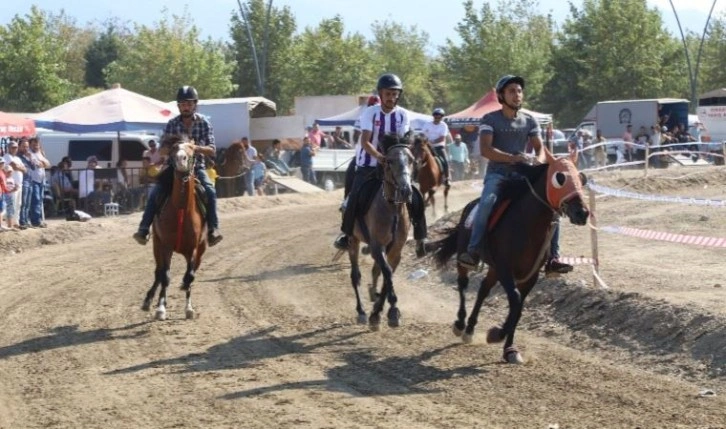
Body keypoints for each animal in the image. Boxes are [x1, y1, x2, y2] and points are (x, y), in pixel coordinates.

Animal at [142, 135, 206, 320]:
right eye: (173, 149)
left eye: (192, 148)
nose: (181, 159)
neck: (181, 210)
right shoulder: (165, 246)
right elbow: (165, 276)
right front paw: (161, 309)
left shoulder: (194, 248)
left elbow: (190, 276)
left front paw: (189, 308)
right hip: (157, 244)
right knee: (159, 272)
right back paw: (149, 301)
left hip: (200, 250)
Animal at [352, 134, 418, 328]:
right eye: (389, 161)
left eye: (411, 160)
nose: (405, 191)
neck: (392, 208)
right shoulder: (377, 245)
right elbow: (387, 272)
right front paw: (391, 310)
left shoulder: (395, 249)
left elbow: (387, 275)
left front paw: (381, 312)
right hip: (352, 240)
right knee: (355, 276)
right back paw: (361, 311)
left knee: (375, 271)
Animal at [426, 150, 592, 362]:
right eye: (559, 178)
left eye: (580, 178)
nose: (582, 212)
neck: (527, 224)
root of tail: (470, 206)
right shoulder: (505, 268)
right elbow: (515, 300)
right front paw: (496, 334)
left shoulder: (530, 275)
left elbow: (518, 309)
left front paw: (509, 349)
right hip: (467, 259)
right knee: (463, 284)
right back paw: (460, 324)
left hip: (494, 269)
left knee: (483, 290)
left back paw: (470, 328)